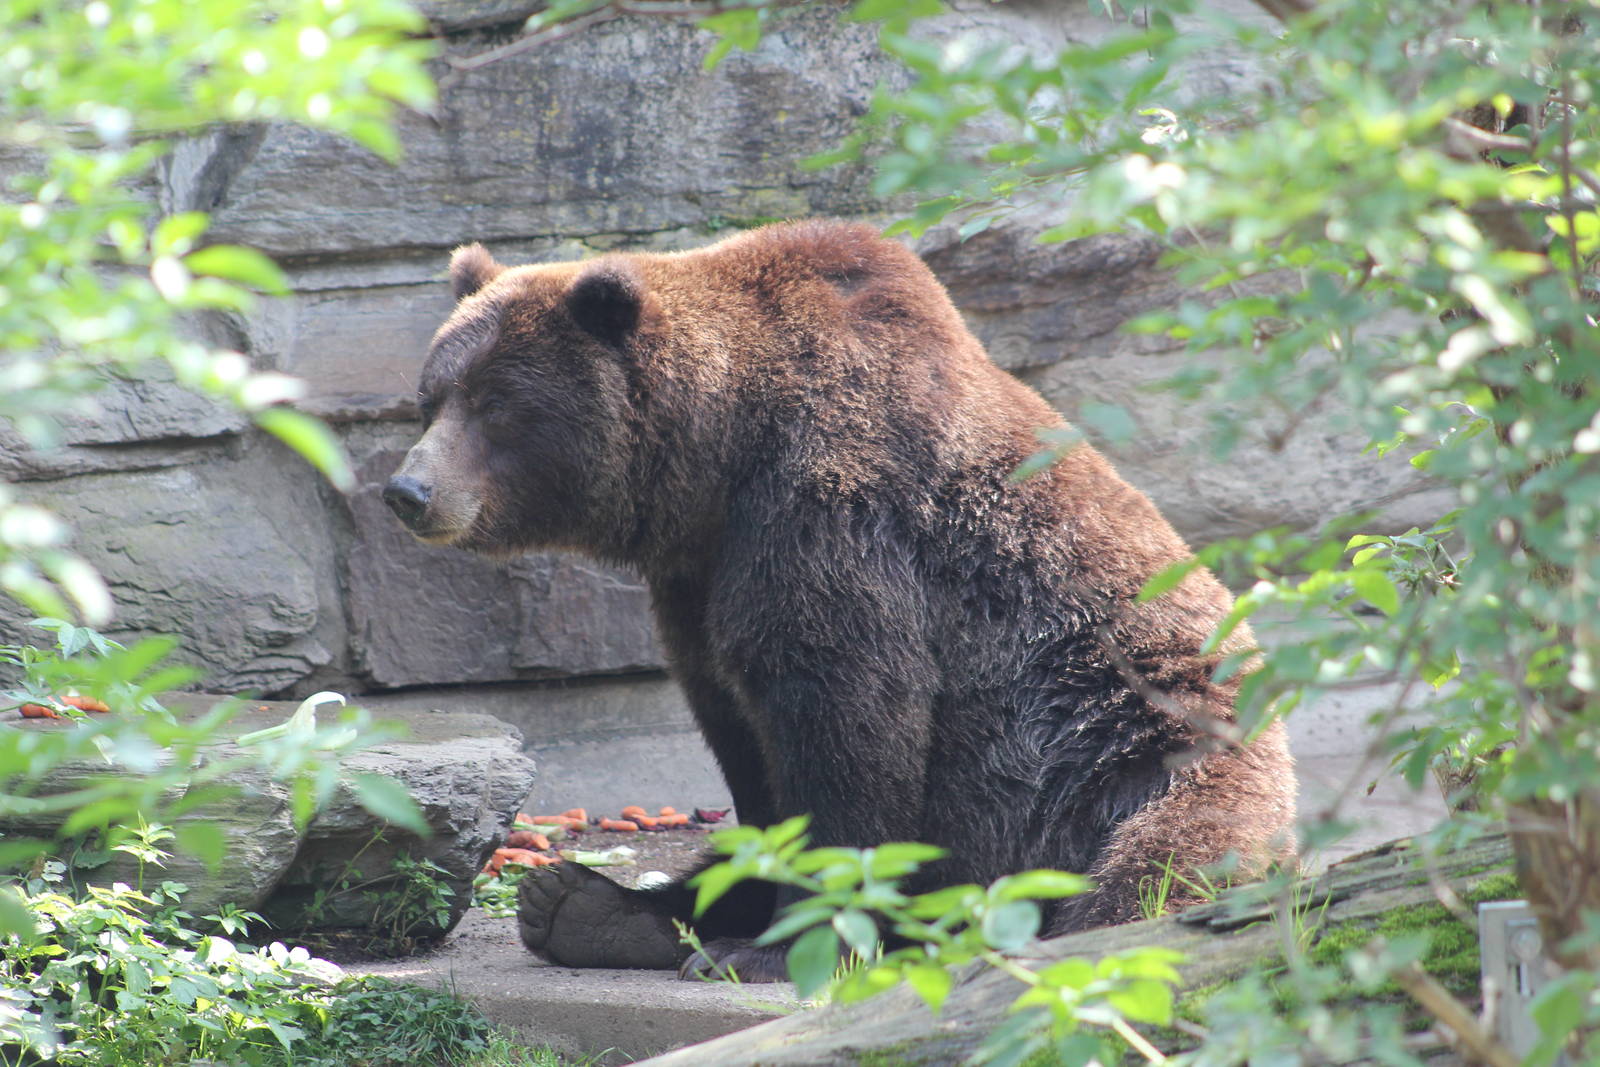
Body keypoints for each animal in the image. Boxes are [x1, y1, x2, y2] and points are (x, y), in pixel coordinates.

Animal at [383, 219, 1297, 981]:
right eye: (432, 397)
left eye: (498, 403)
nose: (408, 490)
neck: (716, 461)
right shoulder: (698, 579)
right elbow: (744, 737)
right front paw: (726, 918)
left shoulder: (829, 512)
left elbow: (848, 711)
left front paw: (776, 947)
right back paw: (583, 906)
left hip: (1138, 749)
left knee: (1164, 859)